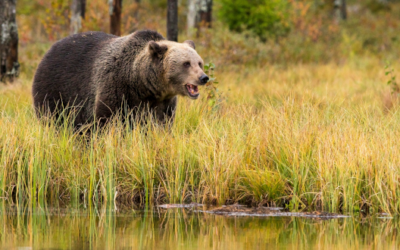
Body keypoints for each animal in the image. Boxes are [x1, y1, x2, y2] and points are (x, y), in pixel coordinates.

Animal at [32, 30, 209, 128]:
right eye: (186, 63)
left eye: (199, 62)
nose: (203, 77)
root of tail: (49, 50)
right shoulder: (116, 87)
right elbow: (106, 119)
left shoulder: (163, 103)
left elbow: (161, 124)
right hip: (56, 89)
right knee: (53, 118)